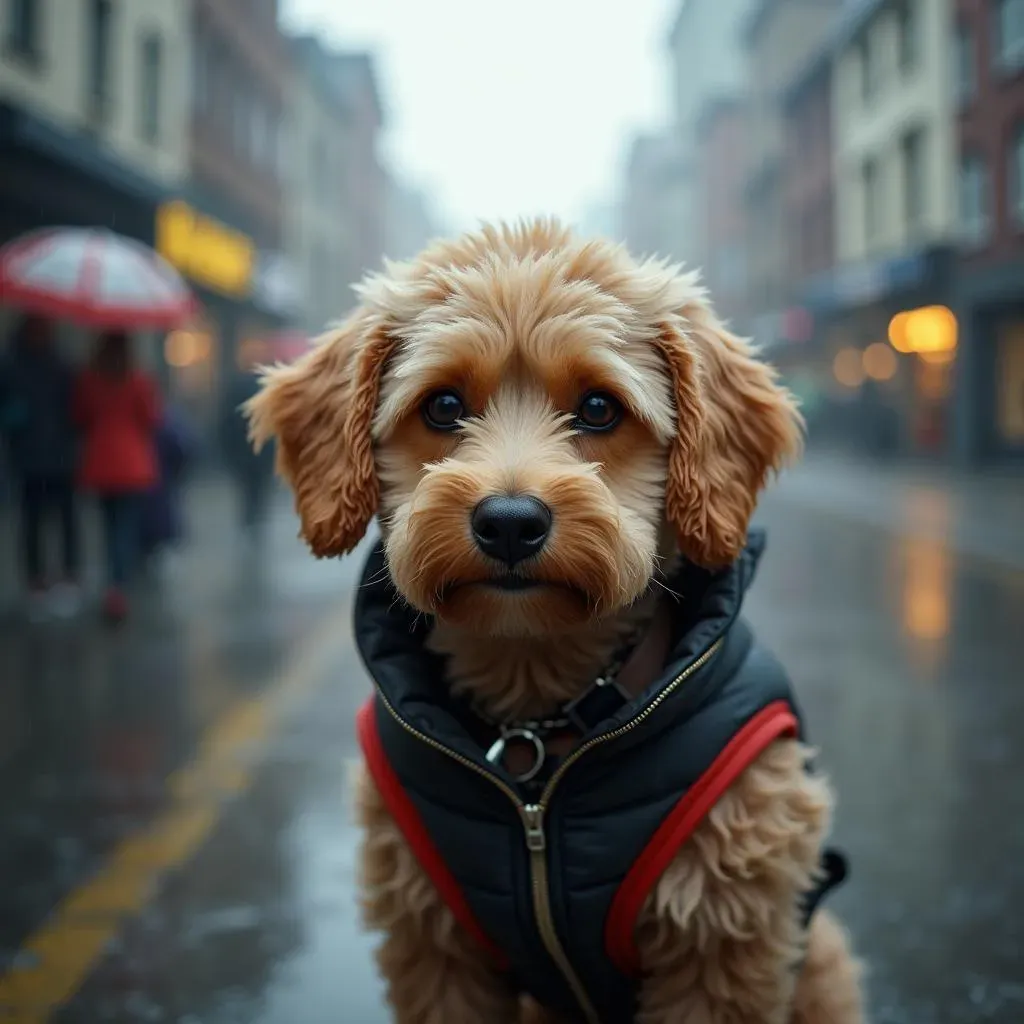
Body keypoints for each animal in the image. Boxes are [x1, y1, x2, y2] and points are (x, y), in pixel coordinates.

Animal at [245, 220, 864, 1019]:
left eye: (599, 409)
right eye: (442, 407)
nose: (510, 522)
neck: (538, 719)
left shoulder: (722, 942)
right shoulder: (433, 944)